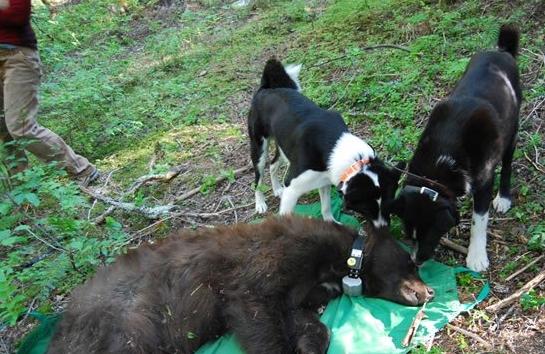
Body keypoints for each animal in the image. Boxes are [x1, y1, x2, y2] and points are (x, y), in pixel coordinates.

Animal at [248, 57, 400, 224]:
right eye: (367, 208)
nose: (385, 228)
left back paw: (276, 189)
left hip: (284, 146)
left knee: (273, 165)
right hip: (259, 148)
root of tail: (266, 88)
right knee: (258, 178)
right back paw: (260, 203)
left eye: (389, 204)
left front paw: (331, 223)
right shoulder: (292, 188)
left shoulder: (324, 180)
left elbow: (326, 207)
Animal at [388, 26, 520, 272]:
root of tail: (502, 51)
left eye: (430, 235)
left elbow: (479, 220)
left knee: (507, 165)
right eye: (409, 235)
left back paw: (504, 197)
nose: (416, 261)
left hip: (511, 131)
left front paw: (476, 255)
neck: (442, 157)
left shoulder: (484, 182)